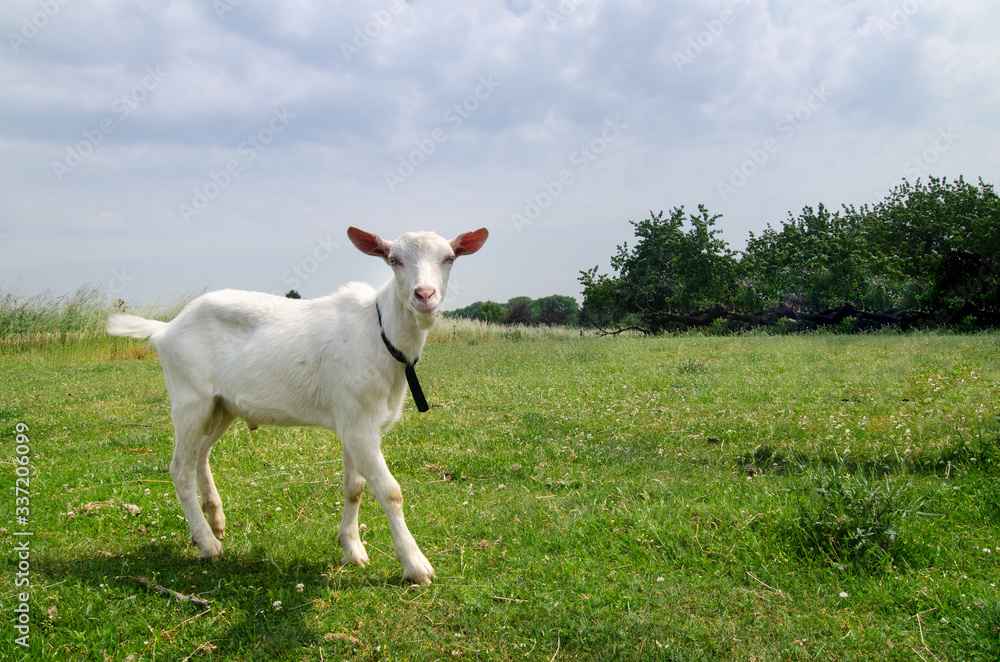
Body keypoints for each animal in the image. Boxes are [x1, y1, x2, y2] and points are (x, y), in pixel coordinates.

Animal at [106, 226, 489, 584]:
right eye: (393, 259)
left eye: (449, 258)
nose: (424, 295)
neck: (381, 334)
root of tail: (165, 328)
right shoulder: (359, 424)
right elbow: (389, 491)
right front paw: (415, 565)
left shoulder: (353, 421)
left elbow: (355, 487)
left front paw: (352, 547)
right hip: (190, 397)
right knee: (179, 468)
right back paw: (208, 544)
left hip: (222, 405)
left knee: (201, 451)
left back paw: (214, 520)